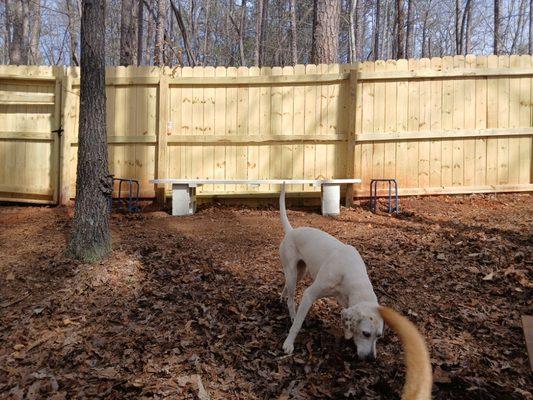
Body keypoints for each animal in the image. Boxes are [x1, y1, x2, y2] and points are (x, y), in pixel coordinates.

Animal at [278, 183, 382, 358]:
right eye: (366, 333)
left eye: (379, 336)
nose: (371, 359)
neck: (349, 272)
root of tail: (291, 231)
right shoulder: (309, 295)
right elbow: (298, 324)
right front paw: (288, 344)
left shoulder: (345, 300)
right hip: (292, 274)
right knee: (291, 300)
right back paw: (291, 314)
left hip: (300, 273)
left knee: (286, 288)